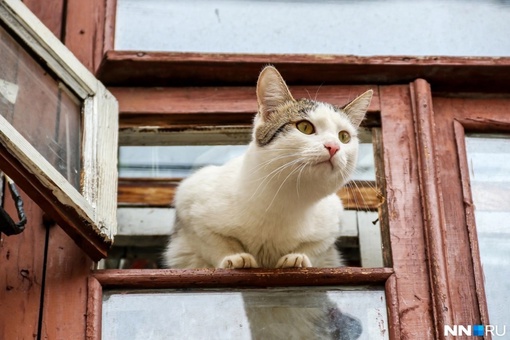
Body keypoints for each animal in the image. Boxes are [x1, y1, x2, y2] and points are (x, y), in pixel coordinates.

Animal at [163, 65, 370, 270]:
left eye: (344, 137)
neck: (284, 201)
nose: (333, 146)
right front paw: (235, 257)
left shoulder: (331, 225)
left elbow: (314, 248)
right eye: (305, 127)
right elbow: (216, 243)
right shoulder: (190, 202)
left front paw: (297, 257)